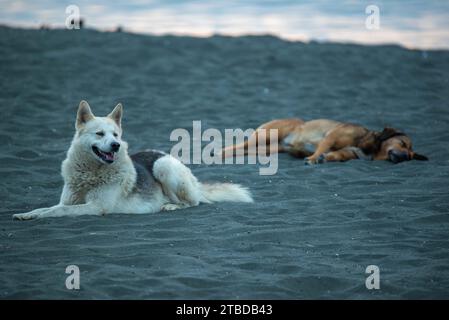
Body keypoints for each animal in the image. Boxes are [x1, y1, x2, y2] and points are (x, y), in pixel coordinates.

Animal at [13, 100, 252, 220]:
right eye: (99, 134)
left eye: (116, 135)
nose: (116, 145)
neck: (91, 172)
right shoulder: (68, 200)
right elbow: (48, 208)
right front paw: (27, 214)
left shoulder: (97, 206)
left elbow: (58, 211)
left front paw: (40, 216)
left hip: (164, 167)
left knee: (192, 203)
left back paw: (169, 206)